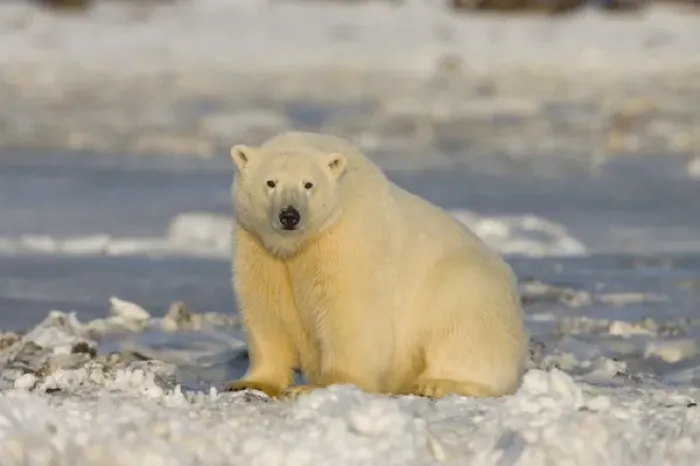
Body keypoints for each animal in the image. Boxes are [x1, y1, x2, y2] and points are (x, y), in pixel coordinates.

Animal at [223, 131, 529, 400]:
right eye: (270, 182)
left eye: (308, 184)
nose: (289, 215)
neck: (300, 245)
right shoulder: (258, 247)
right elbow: (266, 309)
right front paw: (248, 383)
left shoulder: (347, 238)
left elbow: (348, 312)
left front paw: (318, 386)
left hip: (468, 287)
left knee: (464, 331)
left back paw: (436, 383)